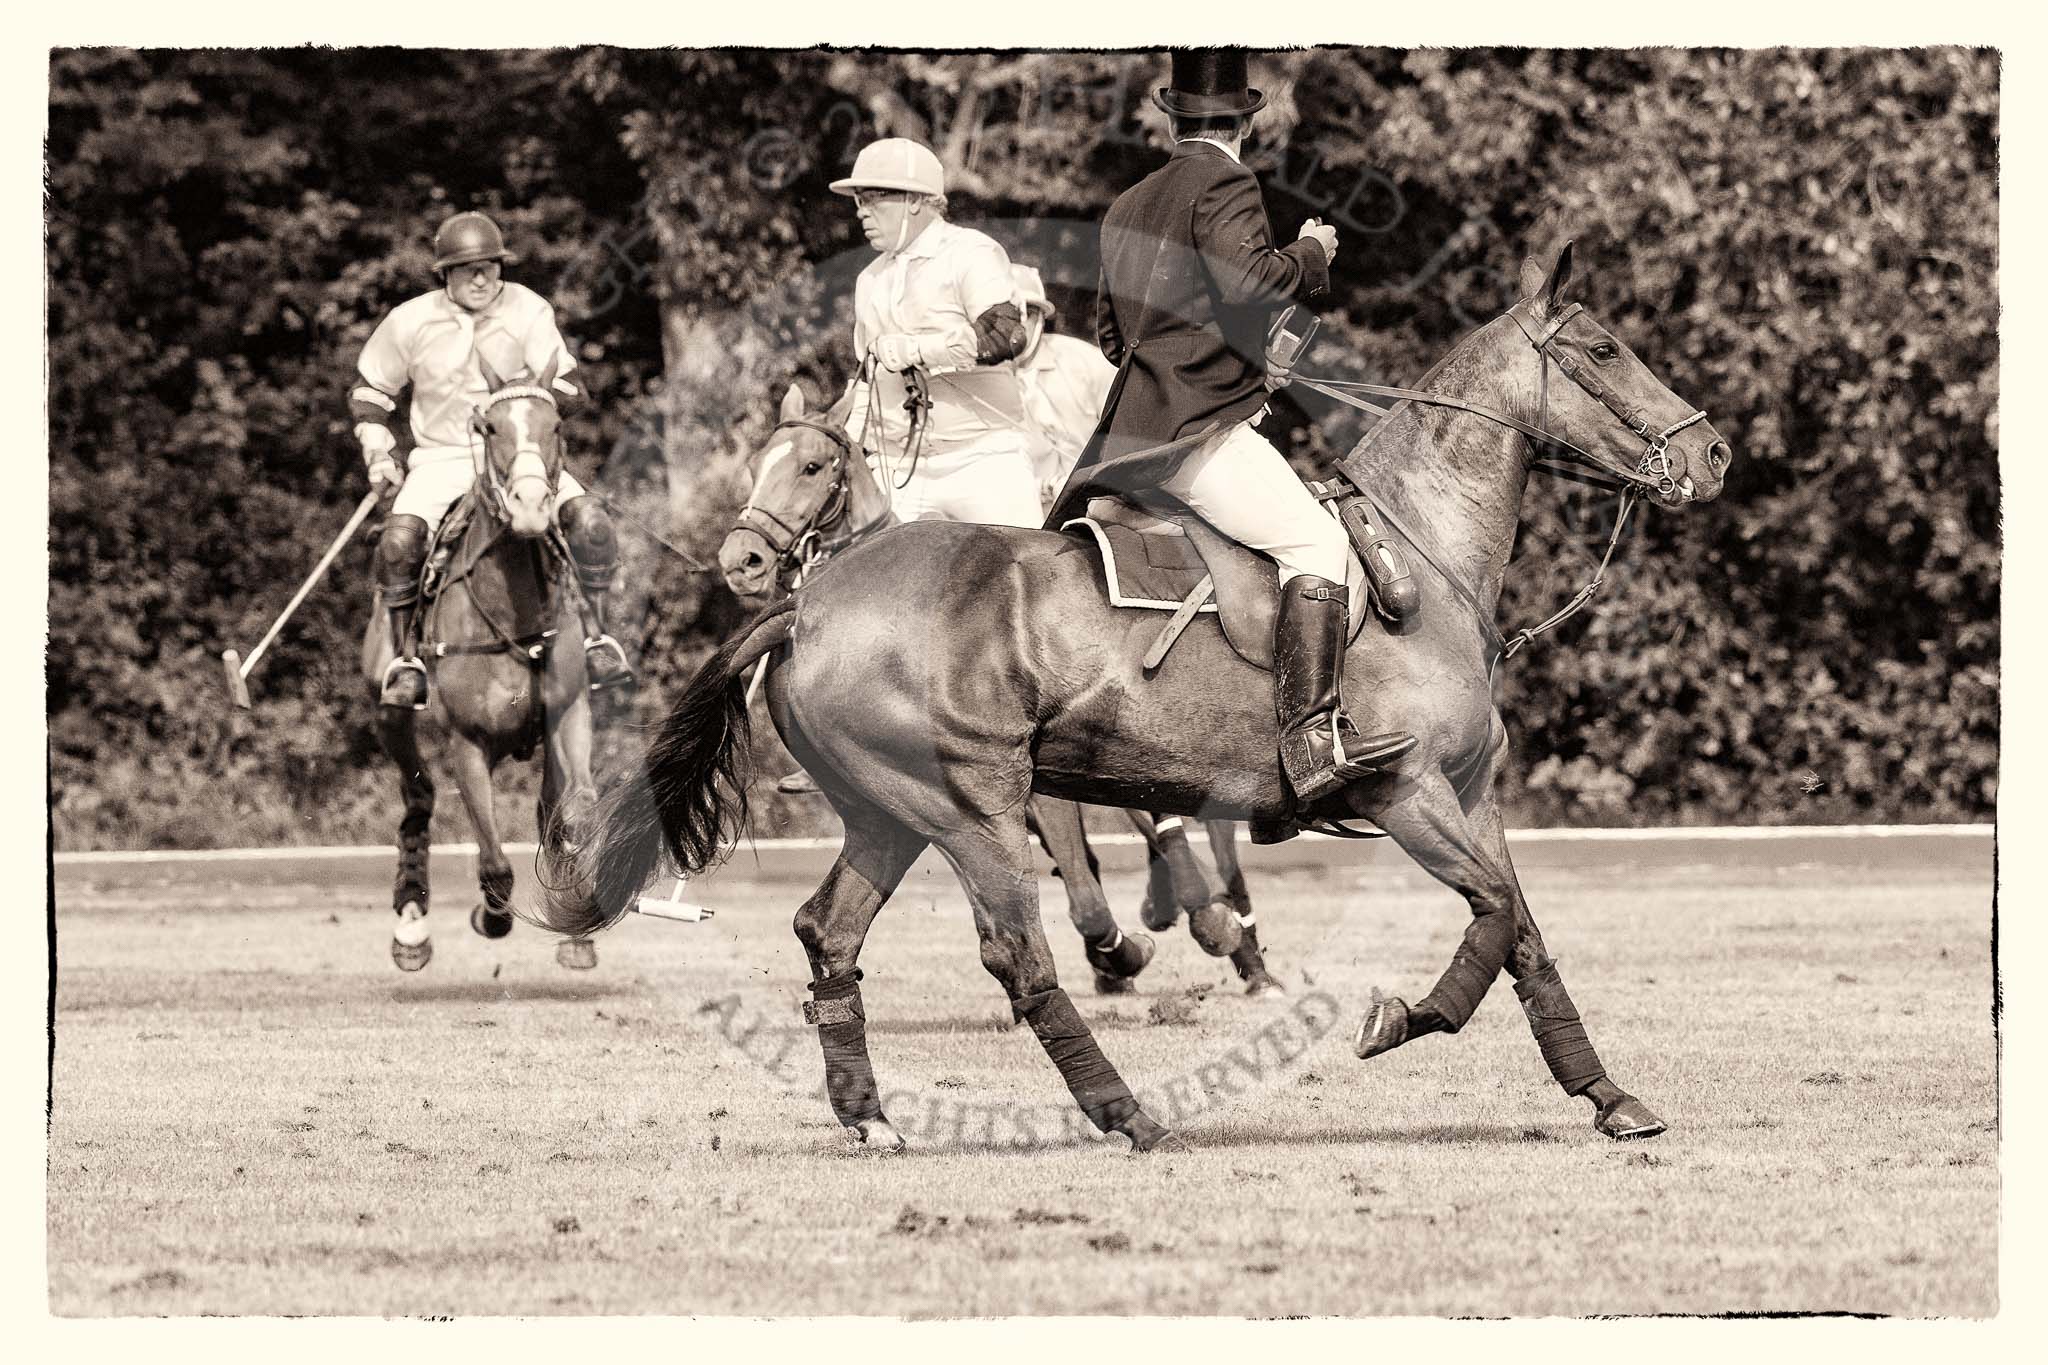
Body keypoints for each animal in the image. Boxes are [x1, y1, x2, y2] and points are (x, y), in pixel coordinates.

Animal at [368, 362, 598, 978]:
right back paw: (411, 927)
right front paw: (491, 917)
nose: (530, 506)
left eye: (555, 423)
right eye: (489, 427)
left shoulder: (568, 712)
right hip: (390, 714)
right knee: (419, 800)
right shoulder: (467, 741)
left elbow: (575, 812)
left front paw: (578, 916)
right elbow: (494, 859)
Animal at [712, 394, 1269, 994]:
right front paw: (1120, 956)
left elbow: (1094, 891)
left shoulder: (1038, 787)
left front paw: (1154, 942)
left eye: (811, 468)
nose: (741, 560)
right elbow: (1085, 888)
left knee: (1207, 832)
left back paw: (1241, 946)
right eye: (755, 466)